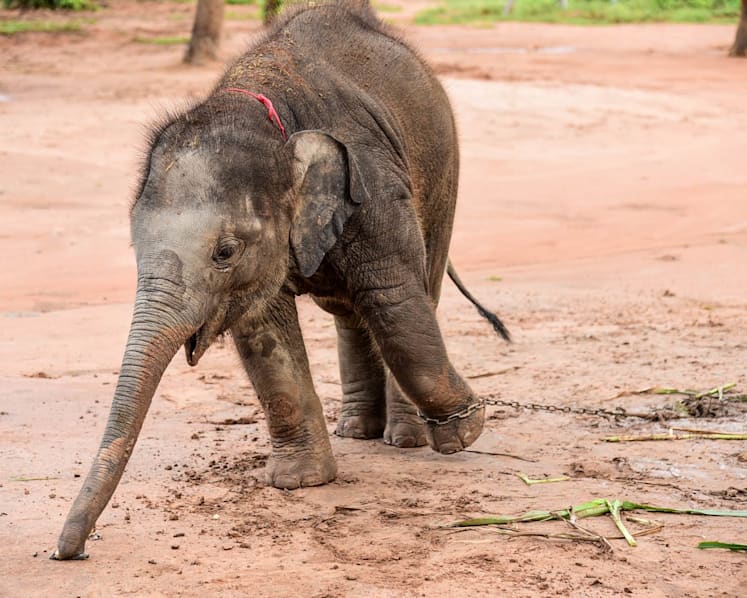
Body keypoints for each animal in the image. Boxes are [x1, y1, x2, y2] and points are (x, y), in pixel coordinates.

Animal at [52, 1, 509, 561]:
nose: (69, 551)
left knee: (409, 294)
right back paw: (357, 431)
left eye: (224, 252)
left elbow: (394, 302)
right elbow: (263, 331)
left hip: (444, 174)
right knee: (350, 313)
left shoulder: (375, 188)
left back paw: (405, 439)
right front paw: (300, 481)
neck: (265, 113)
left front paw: (466, 431)